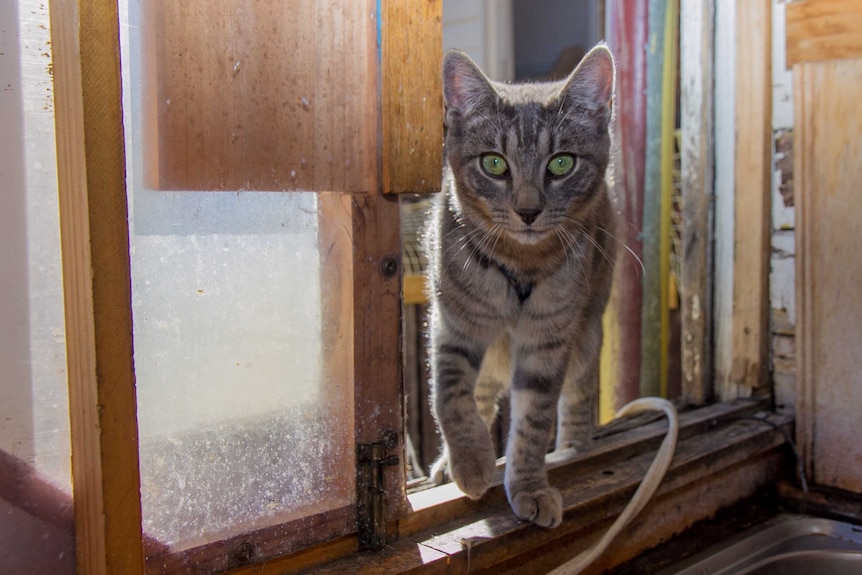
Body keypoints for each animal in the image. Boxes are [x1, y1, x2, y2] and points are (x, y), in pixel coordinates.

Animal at [424, 44, 616, 532]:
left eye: (561, 163)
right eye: (494, 163)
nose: (528, 211)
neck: (520, 264)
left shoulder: (549, 341)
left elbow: (533, 421)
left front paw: (528, 485)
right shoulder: (454, 326)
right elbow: (450, 396)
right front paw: (470, 460)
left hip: (587, 337)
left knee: (579, 394)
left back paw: (573, 448)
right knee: (481, 393)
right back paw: (450, 463)